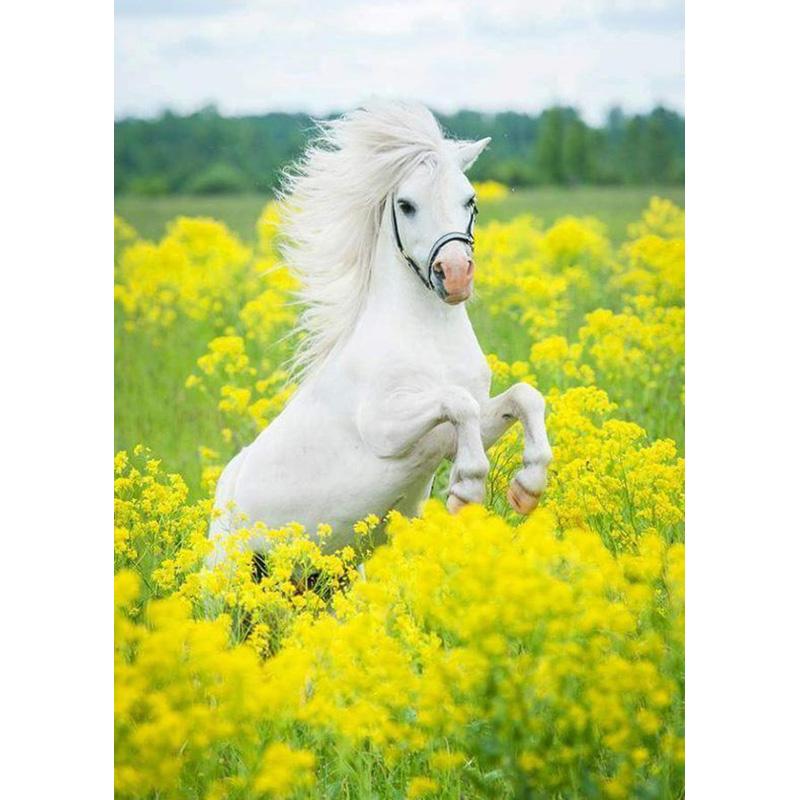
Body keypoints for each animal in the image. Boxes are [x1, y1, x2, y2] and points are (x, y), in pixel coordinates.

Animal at [207, 101, 552, 563]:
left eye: (471, 200)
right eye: (406, 205)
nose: (455, 276)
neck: (430, 337)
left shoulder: (462, 430)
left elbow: (524, 396)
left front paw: (525, 491)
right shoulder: (385, 431)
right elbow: (457, 403)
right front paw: (465, 492)